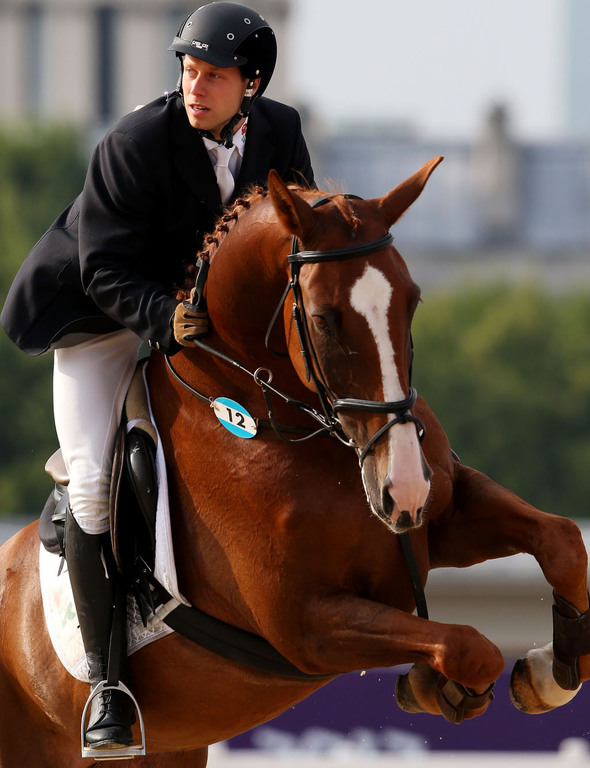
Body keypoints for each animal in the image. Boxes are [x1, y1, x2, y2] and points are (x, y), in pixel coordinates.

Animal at [1, 158, 590, 768]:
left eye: (411, 301)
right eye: (326, 319)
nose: (400, 488)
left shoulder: (440, 521)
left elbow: (562, 541)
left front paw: (549, 675)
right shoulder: (305, 626)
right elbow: (467, 645)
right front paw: (437, 684)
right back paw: (109, 716)